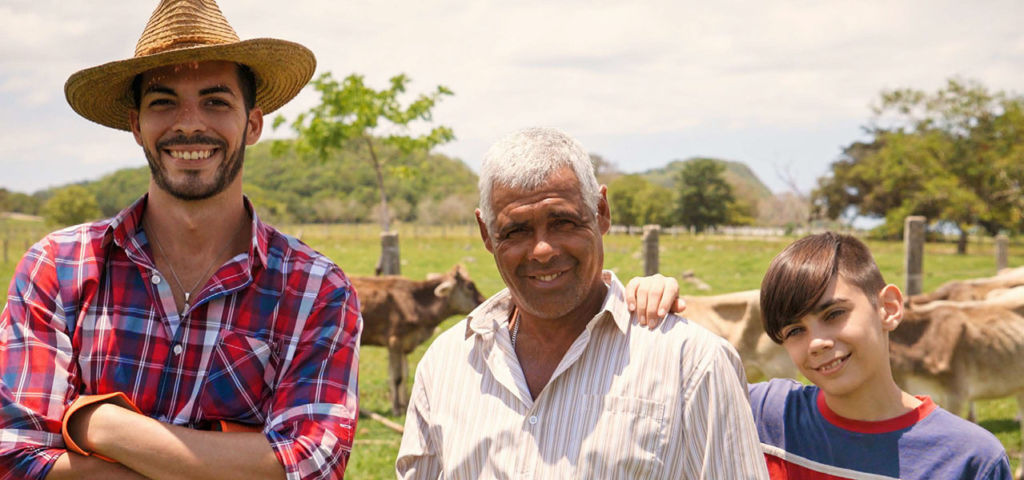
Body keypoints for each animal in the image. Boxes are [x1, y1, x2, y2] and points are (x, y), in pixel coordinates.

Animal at [352, 264, 487, 413]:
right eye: (469, 286)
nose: (483, 301)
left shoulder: (404, 344)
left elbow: (404, 375)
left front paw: (404, 405)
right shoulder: (395, 340)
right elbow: (397, 377)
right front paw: (396, 409)